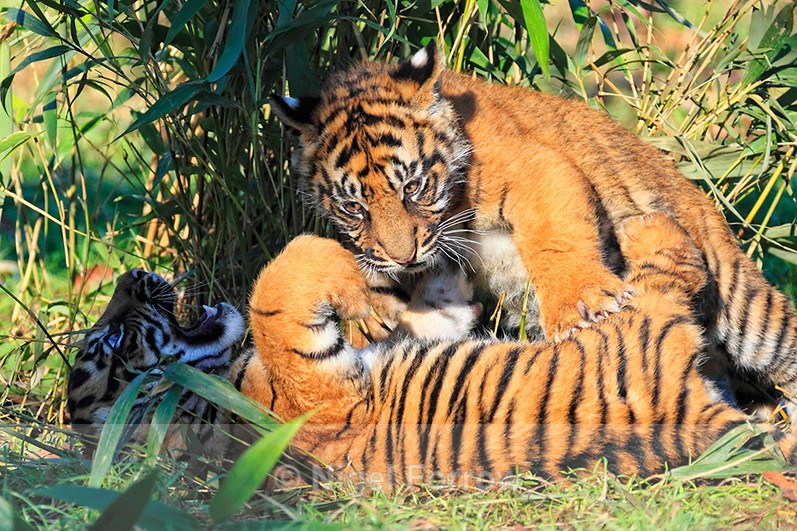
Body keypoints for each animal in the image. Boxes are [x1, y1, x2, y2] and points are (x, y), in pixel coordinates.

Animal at [232, 213, 797, 490]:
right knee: (675, 257)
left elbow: (432, 313)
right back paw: (641, 223)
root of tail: (694, 418)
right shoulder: (317, 388)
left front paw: (435, 279)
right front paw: (355, 282)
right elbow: (275, 286)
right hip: (644, 312)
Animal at [268, 41, 797, 414]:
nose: (404, 256)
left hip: (750, 314)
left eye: (414, 187)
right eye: (353, 208)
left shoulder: (539, 171)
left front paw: (583, 305)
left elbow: (553, 241)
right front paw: (367, 313)